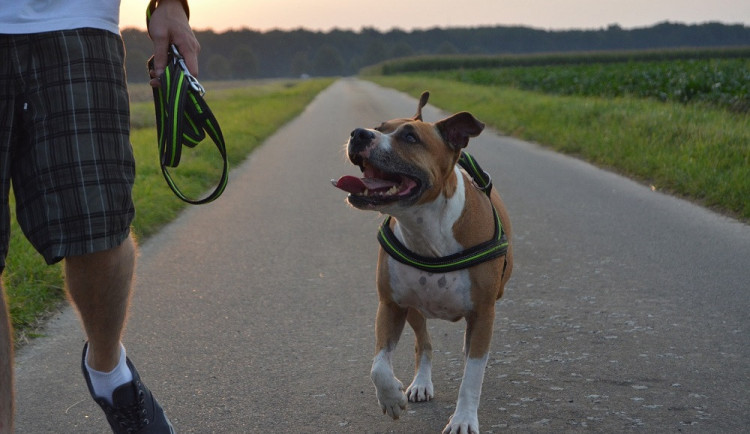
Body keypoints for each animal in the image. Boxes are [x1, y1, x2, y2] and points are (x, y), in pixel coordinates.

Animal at [334, 92, 516, 434]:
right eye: (379, 127)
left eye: (410, 137)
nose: (359, 133)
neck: (426, 229)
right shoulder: (391, 304)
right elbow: (378, 366)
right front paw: (391, 398)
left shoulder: (483, 313)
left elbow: (472, 375)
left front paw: (463, 419)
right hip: (415, 310)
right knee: (424, 344)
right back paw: (420, 383)